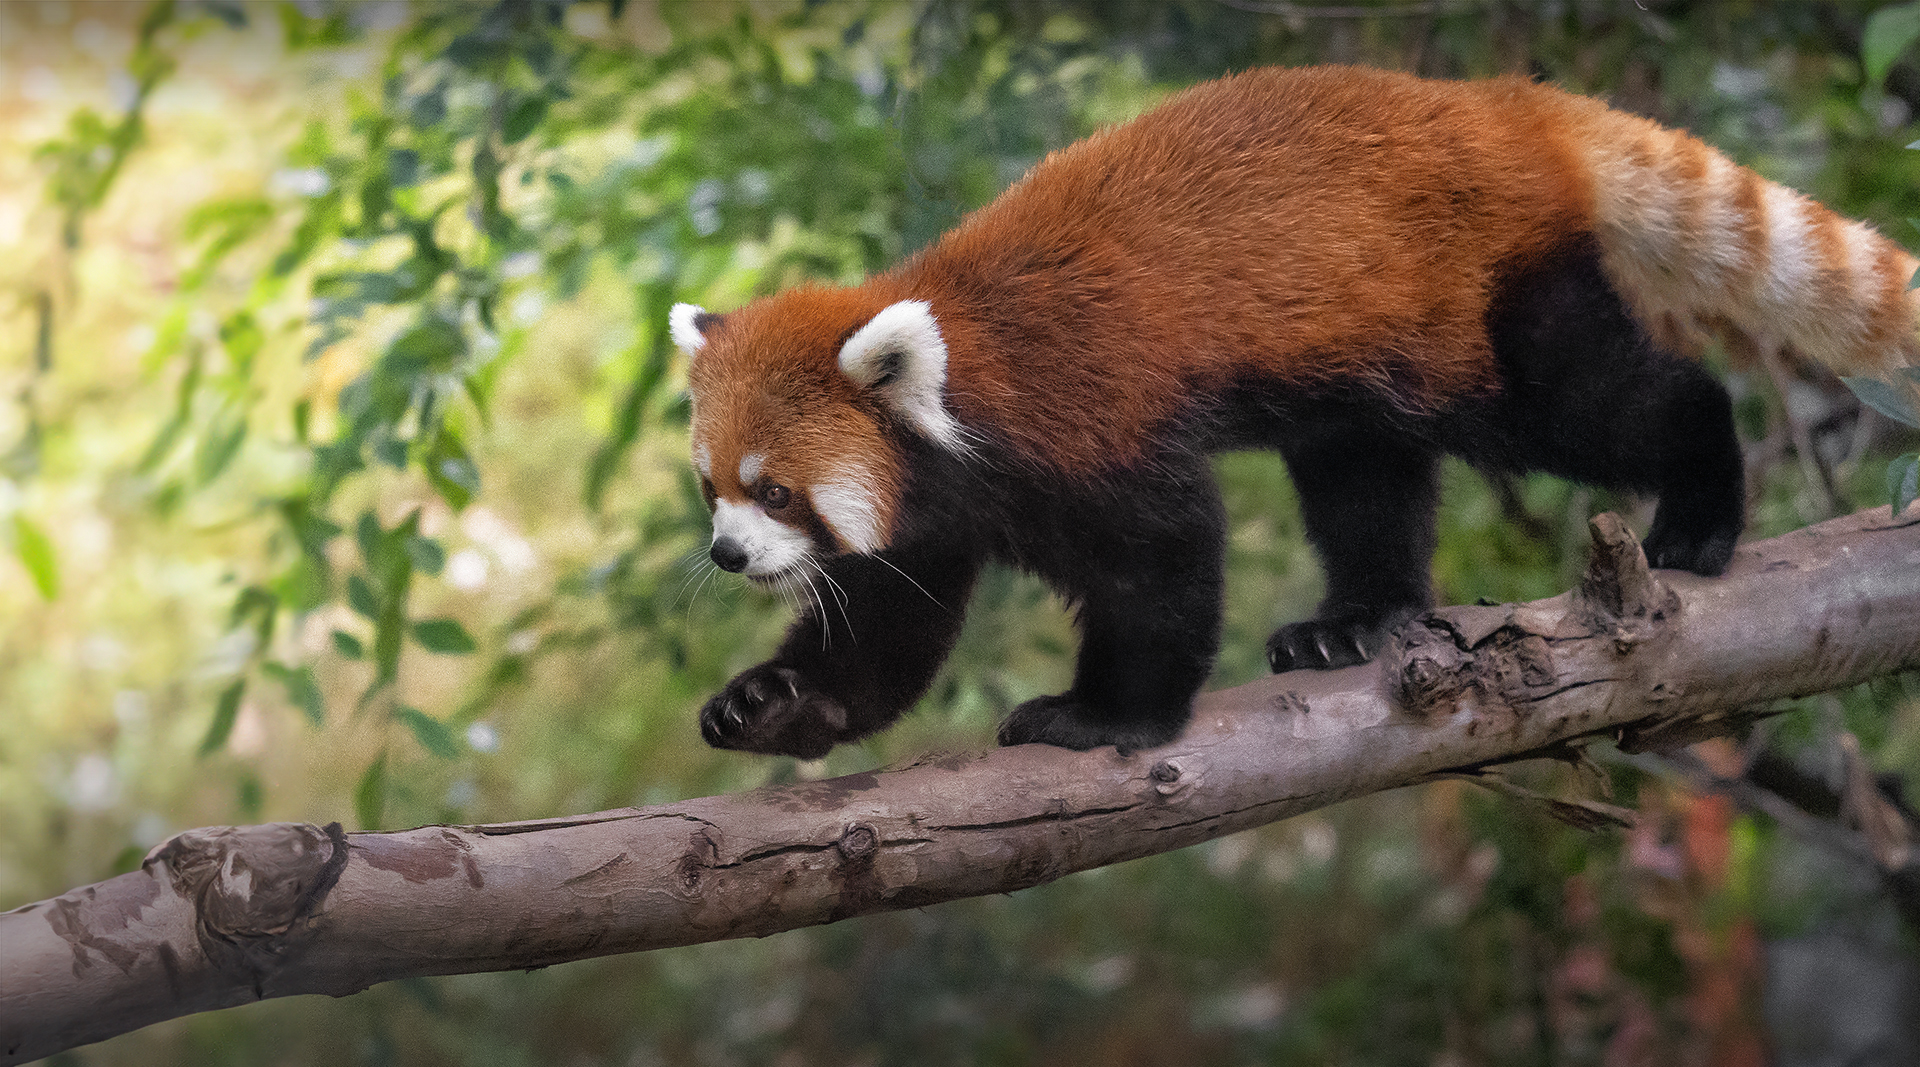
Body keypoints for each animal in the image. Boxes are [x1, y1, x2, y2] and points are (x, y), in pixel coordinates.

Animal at [668, 64, 1912, 759]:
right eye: (712, 487)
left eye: (777, 490)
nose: (728, 555)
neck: (957, 403)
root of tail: (1497, 102)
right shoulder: (931, 515)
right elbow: (887, 634)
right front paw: (772, 704)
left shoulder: (1092, 424)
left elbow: (1161, 566)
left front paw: (1106, 717)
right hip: (1372, 359)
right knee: (1367, 478)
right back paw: (1355, 619)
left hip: (1487, 307)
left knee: (1600, 400)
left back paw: (1700, 511)